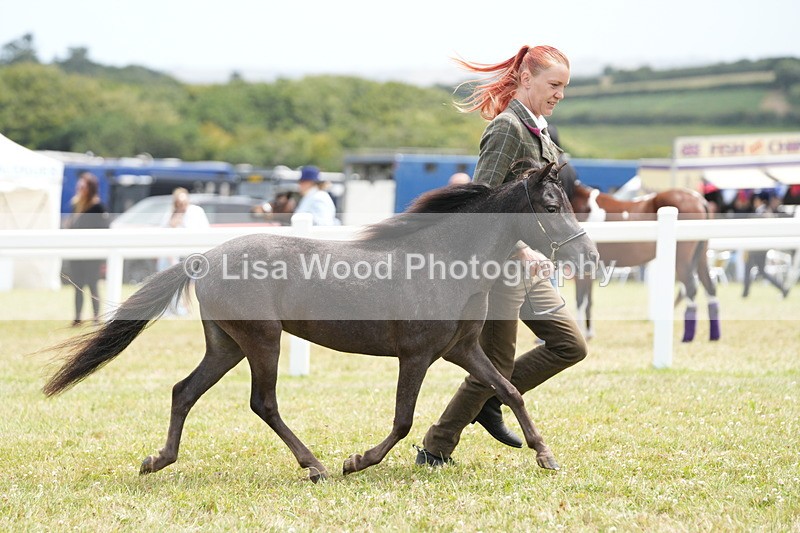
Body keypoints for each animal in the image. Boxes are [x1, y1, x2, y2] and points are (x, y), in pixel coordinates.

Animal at [42, 161, 598, 483]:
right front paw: (357, 461)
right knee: (263, 402)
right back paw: (316, 466)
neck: (443, 259)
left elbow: (509, 390)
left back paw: (158, 459)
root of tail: (203, 256)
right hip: (262, 339)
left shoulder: (462, 349)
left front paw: (545, 456)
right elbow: (403, 419)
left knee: (185, 390)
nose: (590, 256)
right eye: (552, 205)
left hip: (227, 343)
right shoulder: (416, 354)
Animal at [562, 168, 718, 343]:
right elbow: (588, 300)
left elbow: (581, 300)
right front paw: (588, 334)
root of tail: (699, 199)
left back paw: (687, 337)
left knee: (691, 288)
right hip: (701, 256)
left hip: (682, 260)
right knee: (709, 287)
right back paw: (713, 336)